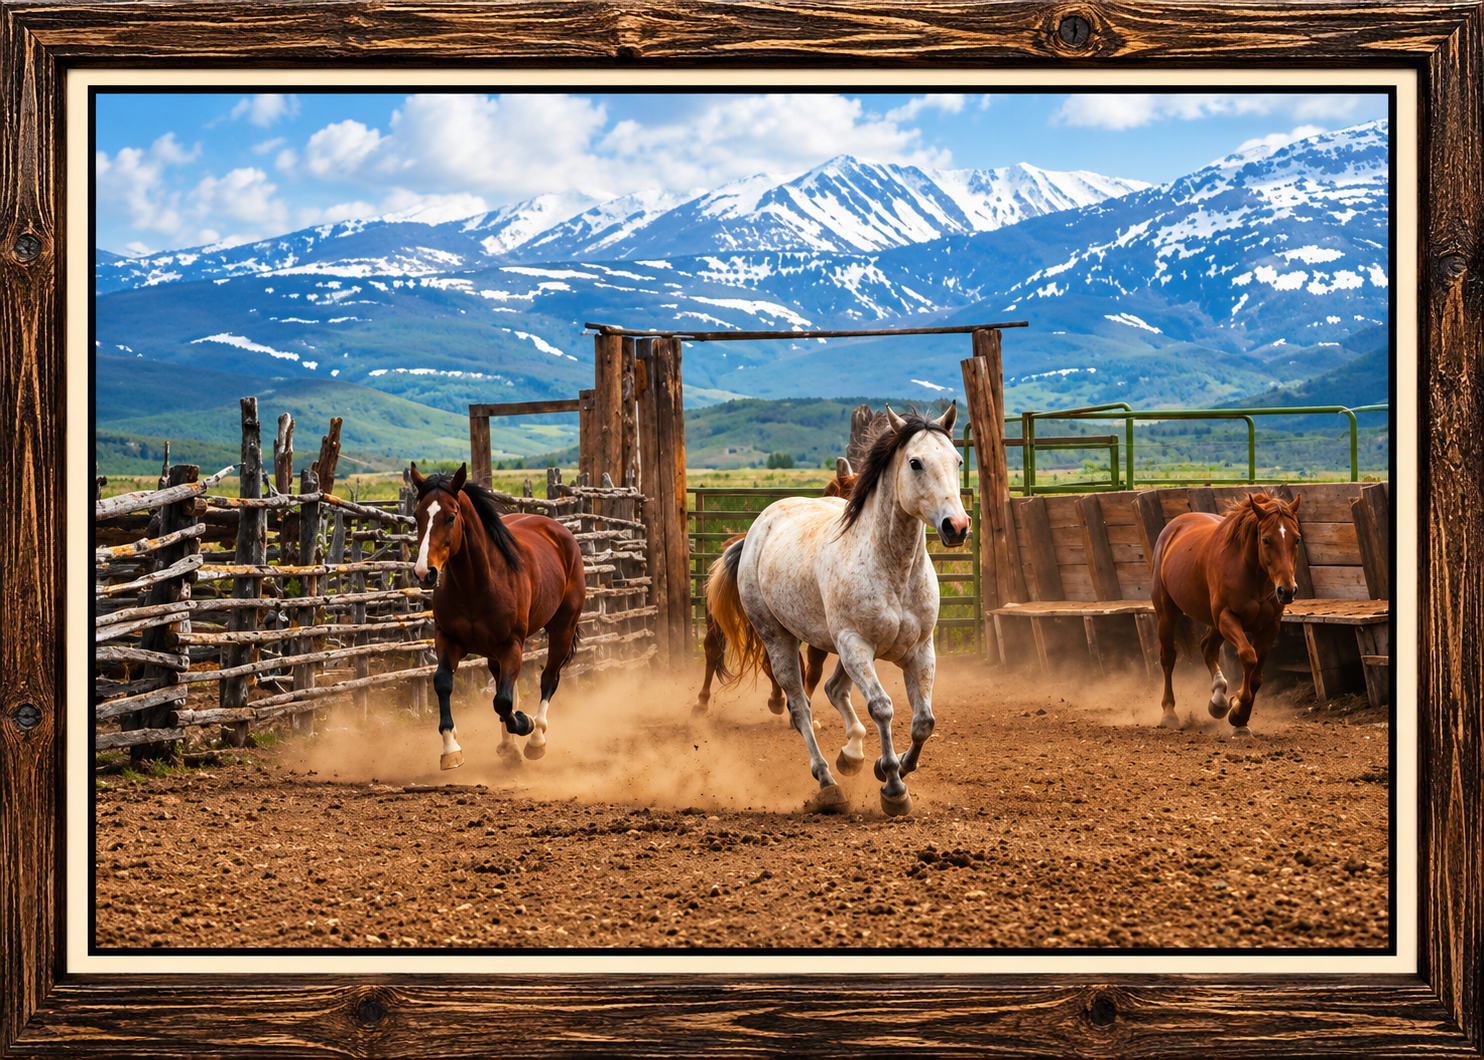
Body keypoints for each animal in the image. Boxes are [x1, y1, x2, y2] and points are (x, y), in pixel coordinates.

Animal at [409, 463, 586, 769]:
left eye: (451, 516)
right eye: (417, 516)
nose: (424, 572)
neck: (476, 583)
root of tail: (558, 530)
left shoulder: (511, 644)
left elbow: (502, 701)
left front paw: (525, 723)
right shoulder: (448, 639)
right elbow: (443, 683)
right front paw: (450, 748)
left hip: (563, 627)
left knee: (548, 678)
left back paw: (535, 739)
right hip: (493, 651)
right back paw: (508, 746)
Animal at [1150, 491, 1303, 736]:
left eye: (1296, 539)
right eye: (1266, 539)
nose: (1287, 590)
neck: (1251, 573)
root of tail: (1174, 526)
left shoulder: (1269, 627)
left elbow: (1257, 676)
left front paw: (1239, 715)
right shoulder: (1227, 617)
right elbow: (1248, 657)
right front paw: (1238, 709)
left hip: (1213, 623)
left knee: (1207, 648)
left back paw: (1218, 700)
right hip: (1167, 613)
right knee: (1168, 658)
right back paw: (1169, 713)